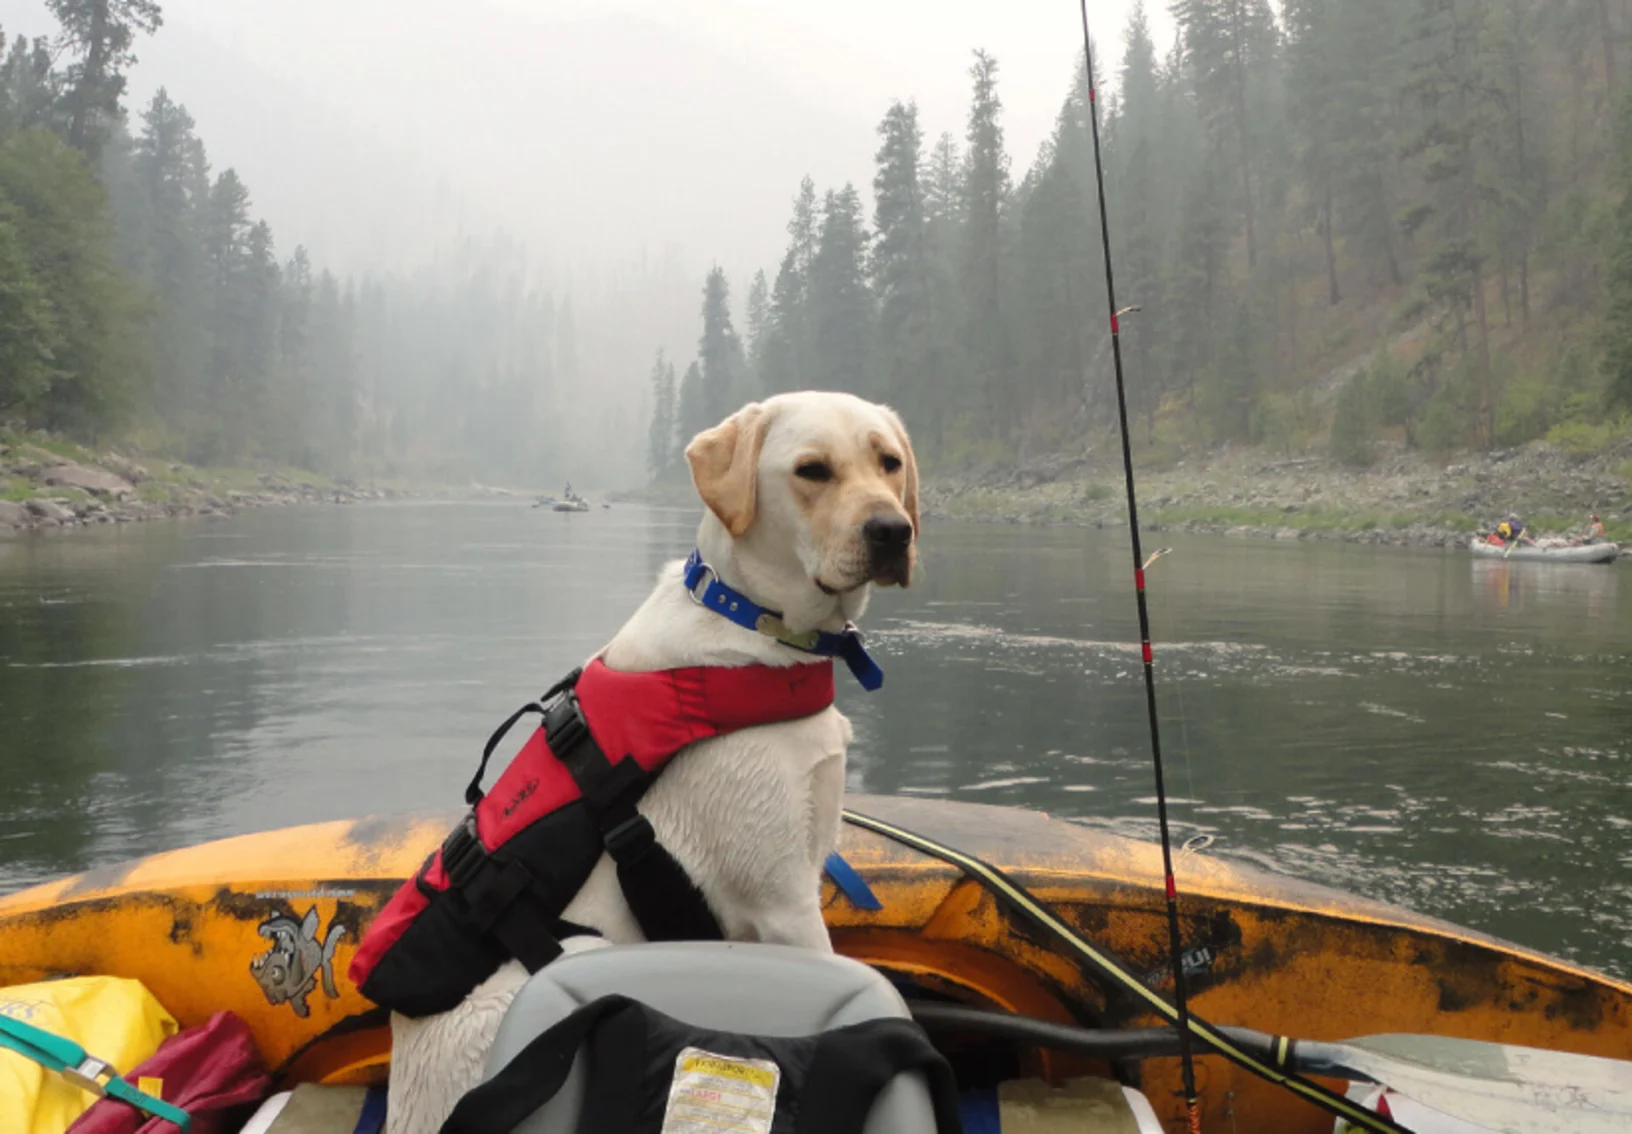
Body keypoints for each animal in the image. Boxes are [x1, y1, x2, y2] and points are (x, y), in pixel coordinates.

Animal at [385, 393, 920, 1134]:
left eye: (889, 463)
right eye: (812, 470)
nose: (893, 531)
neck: (753, 627)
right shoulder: (783, 900)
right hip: (584, 952)